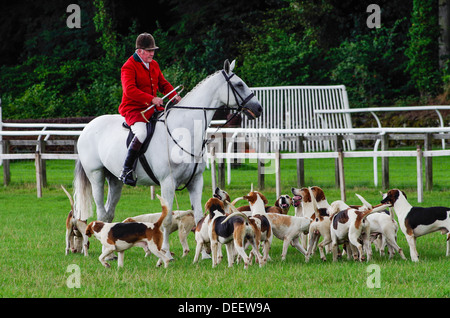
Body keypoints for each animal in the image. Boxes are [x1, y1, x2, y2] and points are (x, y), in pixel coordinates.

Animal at [73, 59, 262, 258]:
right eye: (239, 84)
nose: (258, 108)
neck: (184, 131)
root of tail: (87, 127)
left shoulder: (196, 181)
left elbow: (199, 216)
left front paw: (205, 254)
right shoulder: (168, 183)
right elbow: (168, 219)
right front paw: (166, 252)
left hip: (115, 180)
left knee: (109, 213)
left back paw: (110, 252)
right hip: (96, 176)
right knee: (102, 213)